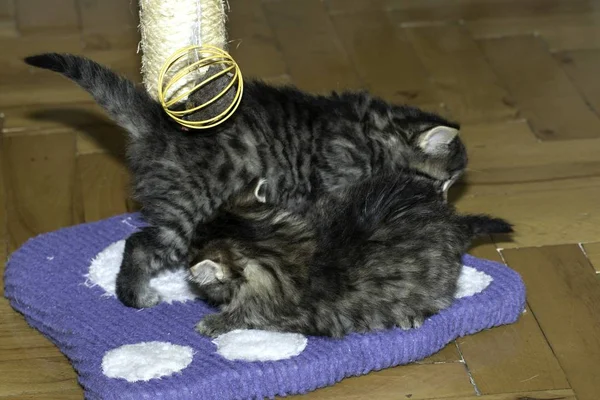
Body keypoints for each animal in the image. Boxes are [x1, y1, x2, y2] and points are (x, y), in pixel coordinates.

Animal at [25, 53, 468, 310]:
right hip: (188, 209)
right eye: (442, 184)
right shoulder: (333, 190)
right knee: (139, 243)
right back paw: (135, 296)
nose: (443, 204)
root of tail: (157, 124)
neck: (374, 137)